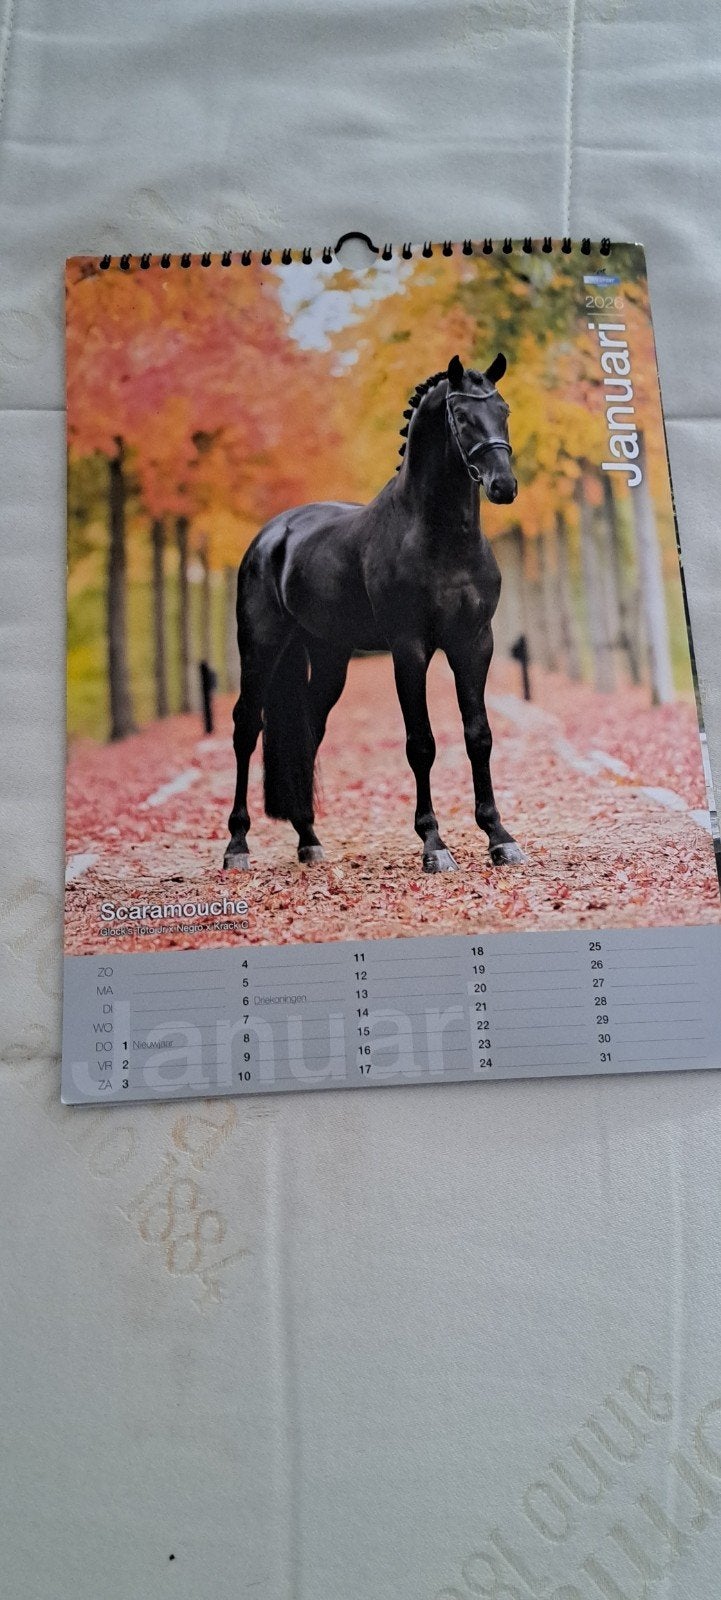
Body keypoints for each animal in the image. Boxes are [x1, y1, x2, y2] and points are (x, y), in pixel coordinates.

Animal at [223, 352, 525, 875]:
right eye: (462, 415)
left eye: (503, 409)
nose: (502, 485)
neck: (438, 537)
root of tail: (271, 537)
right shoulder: (409, 649)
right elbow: (421, 743)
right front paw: (433, 844)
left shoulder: (474, 644)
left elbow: (478, 735)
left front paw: (498, 836)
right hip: (259, 646)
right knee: (246, 727)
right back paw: (237, 845)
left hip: (328, 656)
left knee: (309, 731)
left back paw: (308, 838)